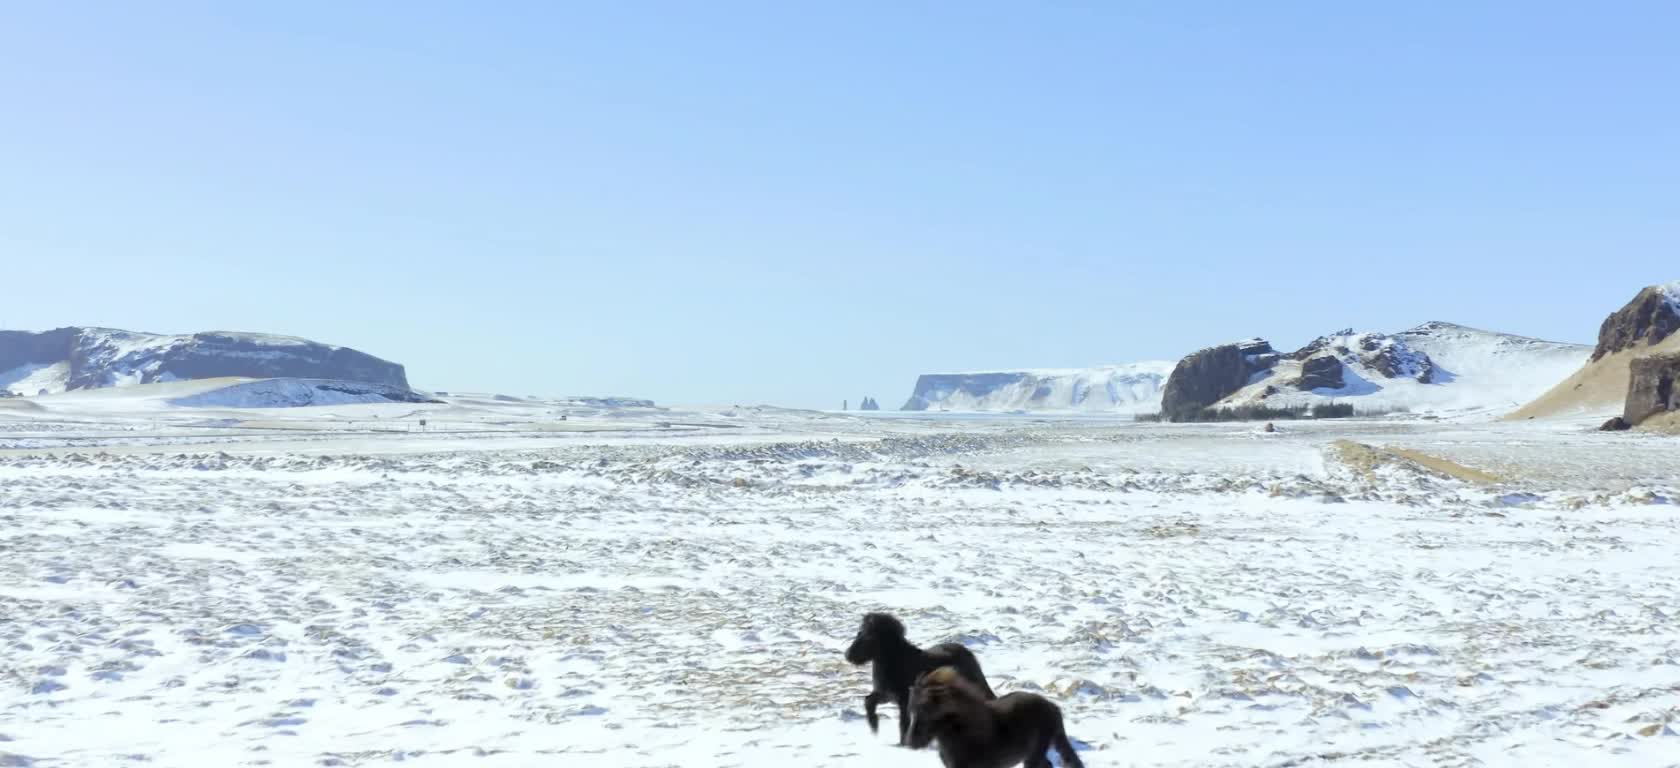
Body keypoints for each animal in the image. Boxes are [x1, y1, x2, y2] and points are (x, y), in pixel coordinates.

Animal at [846, 611, 987, 742]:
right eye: (859, 632)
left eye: (868, 636)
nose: (848, 655)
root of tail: (968, 654)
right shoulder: (886, 694)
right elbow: (869, 701)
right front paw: (874, 727)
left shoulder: (903, 699)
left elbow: (903, 724)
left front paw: (903, 743)